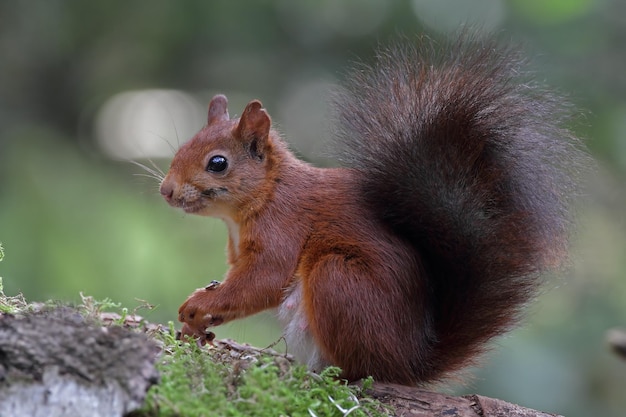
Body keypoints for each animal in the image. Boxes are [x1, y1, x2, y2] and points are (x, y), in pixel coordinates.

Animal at [157, 35, 584, 384]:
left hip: (340, 281)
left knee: (362, 368)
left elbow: (263, 279)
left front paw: (199, 306)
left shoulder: (284, 226)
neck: (267, 193)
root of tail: (409, 363)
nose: (166, 191)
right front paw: (197, 320)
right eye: (183, 148)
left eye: (218, 163)